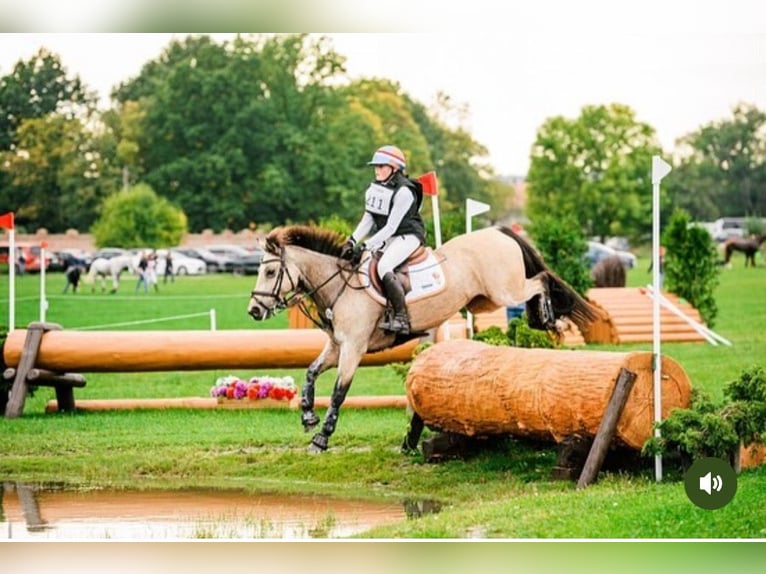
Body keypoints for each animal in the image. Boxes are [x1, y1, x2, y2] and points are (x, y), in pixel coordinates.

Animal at [249, 225, 604, 454]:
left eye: (270, 272)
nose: (254, 310)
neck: (340, 286)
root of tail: (498, 232)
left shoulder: (354, 349)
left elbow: (338, 393)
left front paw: (322, 438)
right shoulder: (336, 347)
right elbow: (309, 373)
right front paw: (308, 417)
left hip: (504, 290)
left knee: (540, 280)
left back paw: (544, 316)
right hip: (484, 300)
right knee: (537, 281)